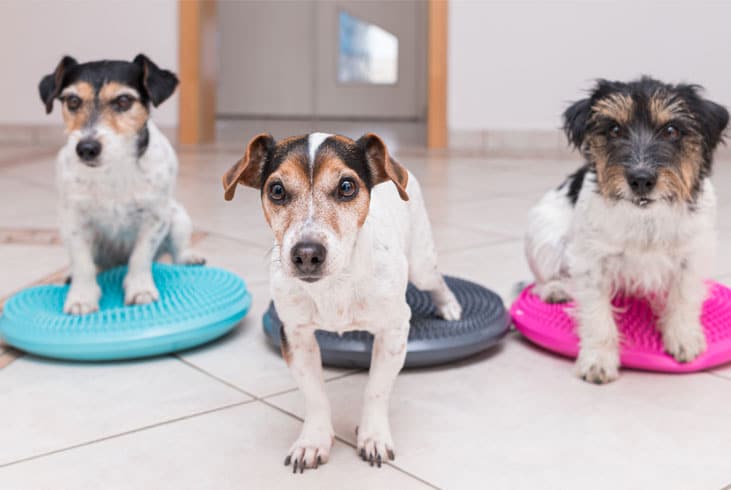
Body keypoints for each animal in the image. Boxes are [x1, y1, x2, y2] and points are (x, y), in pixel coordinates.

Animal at [41, 53, 204, 314]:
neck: (112, 170)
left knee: (178, 249)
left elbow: (140, 258)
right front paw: (81, 297)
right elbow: (82, 263)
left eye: (124, 100)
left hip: (178, 216)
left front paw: (140, 289)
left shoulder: (155, 218)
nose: (86, 148)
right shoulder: (73, 221)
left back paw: (189, 257)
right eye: (73, 101)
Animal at [223, 132, 464, 468]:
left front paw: (373, 436)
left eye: (347, 187)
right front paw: (313, 440)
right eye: (277, 190)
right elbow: (314, 396)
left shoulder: (394, 330)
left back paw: (449, 306)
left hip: (421, 263)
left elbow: (376, 389)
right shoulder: (295, 336)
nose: (306, 254)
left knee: (437, 280)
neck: (334, 283)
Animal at [528, 77, 728, 382]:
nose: (641, 179)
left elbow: (683, 297)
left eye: (671, 130)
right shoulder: (591, 262)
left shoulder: (692, 256)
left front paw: (684, 339)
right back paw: (554, 289)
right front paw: (598, 360)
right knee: (541, 278)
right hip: (543, 239)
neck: (645, 217)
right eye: (614, 129)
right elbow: (597, 315)